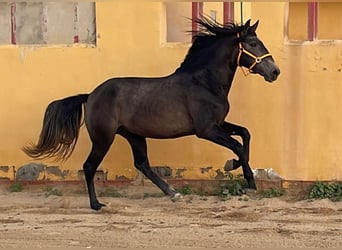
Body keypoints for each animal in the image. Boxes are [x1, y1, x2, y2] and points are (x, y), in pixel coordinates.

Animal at [22, 17, 280, 210]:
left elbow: (245, 134)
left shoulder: (219, 123)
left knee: (142, 164)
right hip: (104, 138)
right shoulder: (206, 129)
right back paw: (97, 205)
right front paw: (248, 181)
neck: (204, 81)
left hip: (134, 135)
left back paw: (173, 193)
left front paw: (233, 165)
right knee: (89, 166)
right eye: (253, 43)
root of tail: (91, 95)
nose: (275, 72)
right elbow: (238, 145)